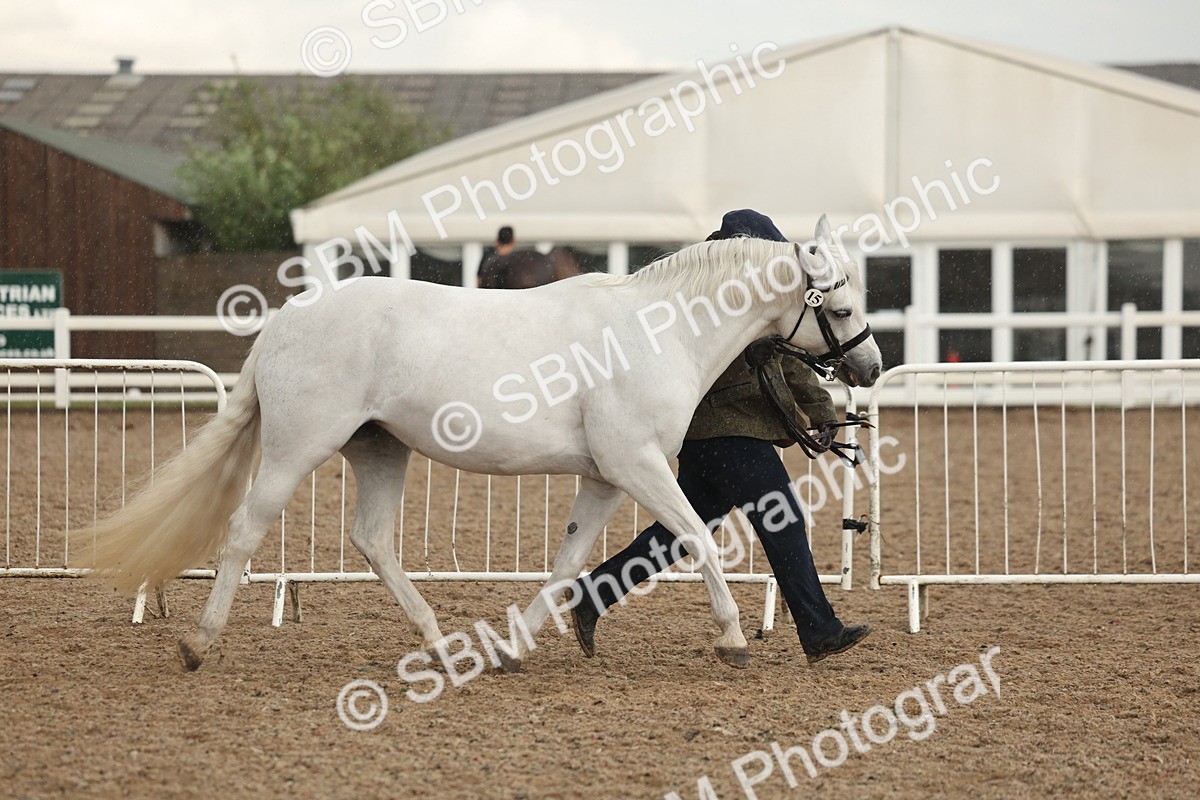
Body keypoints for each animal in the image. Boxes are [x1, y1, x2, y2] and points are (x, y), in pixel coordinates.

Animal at [85, 216, 881, 672]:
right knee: (246, 531)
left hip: (381, 449)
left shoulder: (605, 476)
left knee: (372, 539)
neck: (658, 331)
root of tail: (283, 320)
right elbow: (699, 539)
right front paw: (733, 639)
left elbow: (567, 562)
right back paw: (198, 644)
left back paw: (441, 647)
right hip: (295, 450)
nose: (871, 367)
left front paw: (514, 648)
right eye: (841, 306)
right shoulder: (638, 465)